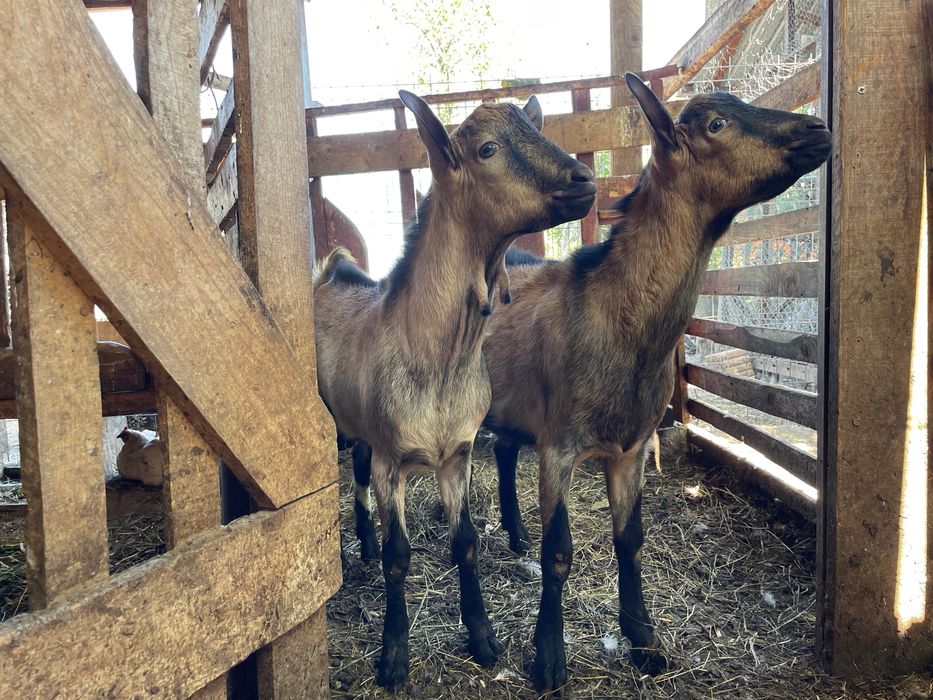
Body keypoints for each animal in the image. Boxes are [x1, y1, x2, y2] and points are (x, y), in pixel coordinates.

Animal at [313, 90, 596, 690]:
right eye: (488, 149)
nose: (583, 179)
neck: (433, 354)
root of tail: (331, 273)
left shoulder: (457, 454)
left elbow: (465, 541)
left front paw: (483, 636)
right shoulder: (393, 459)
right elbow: (400, 554)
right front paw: (393, 656)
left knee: (357, 470)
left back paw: (364, 542)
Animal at [482, 73, 832, 691]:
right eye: (716, 123)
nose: (818, 128)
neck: (616, 321)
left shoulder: (632, 446)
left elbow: (630, 539)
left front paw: (644, 640)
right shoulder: (559, 446)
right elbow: (559, 554)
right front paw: (547, 660)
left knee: (502, 449)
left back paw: (516, 533)